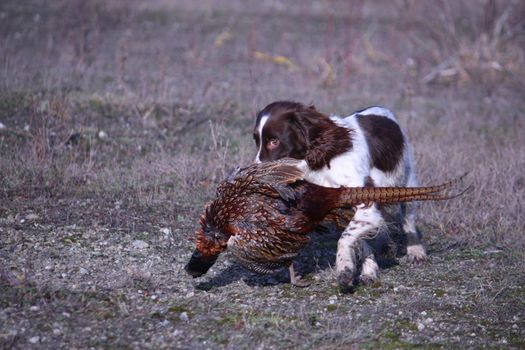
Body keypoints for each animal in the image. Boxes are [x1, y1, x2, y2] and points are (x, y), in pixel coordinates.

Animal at [253, 101, 422, 290]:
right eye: (256, 141)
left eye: (274, 141)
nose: (254, 175)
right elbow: (358, 240)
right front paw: (368, 271)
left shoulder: (366, 202)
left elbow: (345, 238)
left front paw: (344, 268)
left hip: (407, 182)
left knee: (408, 220)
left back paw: (416, 251)